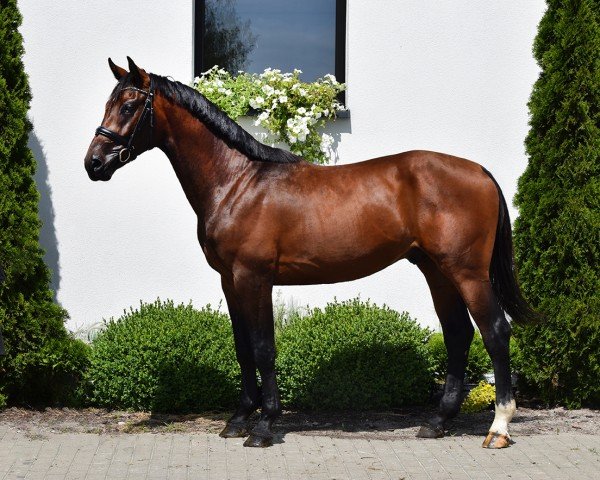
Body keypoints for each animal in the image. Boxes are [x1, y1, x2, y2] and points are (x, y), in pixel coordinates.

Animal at [83, 58, 536, 448]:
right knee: (458, 334)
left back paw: (498, 429)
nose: (94, 163)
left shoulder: (254, 277)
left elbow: (263, 347)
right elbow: (242, 347)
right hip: (437, 271)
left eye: (128, 106)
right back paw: (437, 422)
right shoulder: (230, 280)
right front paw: (238, 420)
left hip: (467, 272)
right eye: (107, 103)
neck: (237, 182)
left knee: (496, 332)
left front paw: (264, 426)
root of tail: (480, 172)